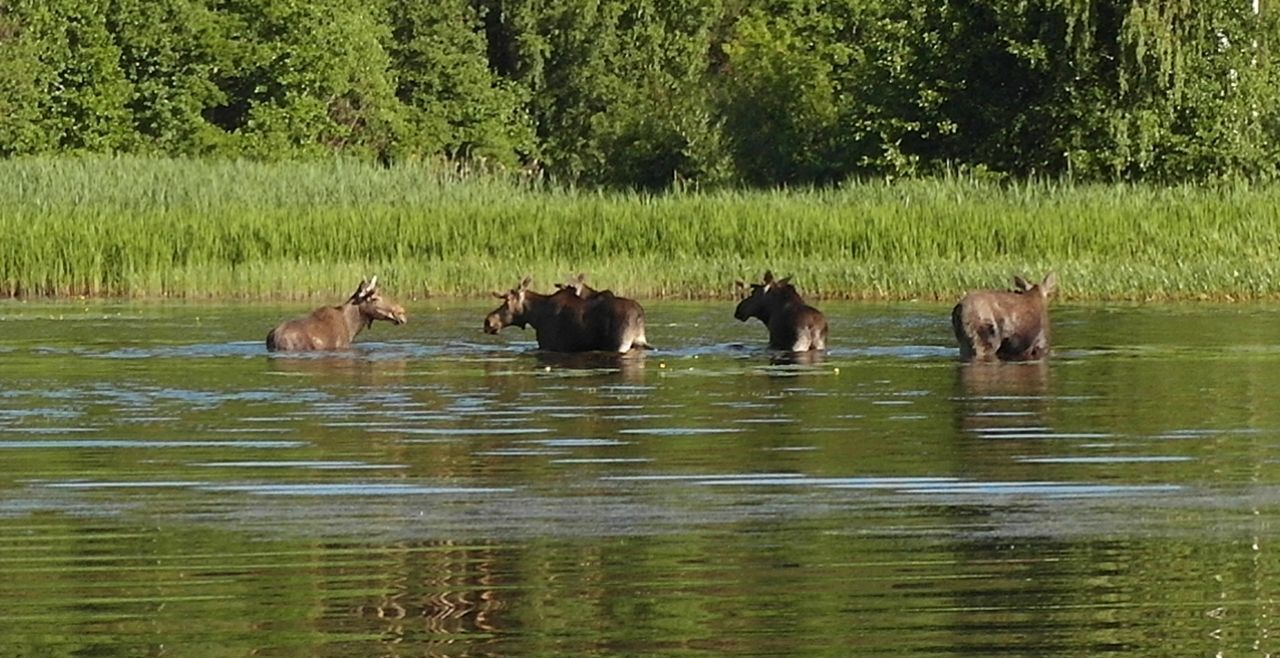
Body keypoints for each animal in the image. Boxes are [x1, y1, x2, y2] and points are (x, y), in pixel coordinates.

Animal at [483, 273, 655, 350]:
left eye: (506, 301)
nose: (488, 321)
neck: (535, 317)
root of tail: (639, 316)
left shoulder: (548, 345)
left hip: (619, 344)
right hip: (639, 342)